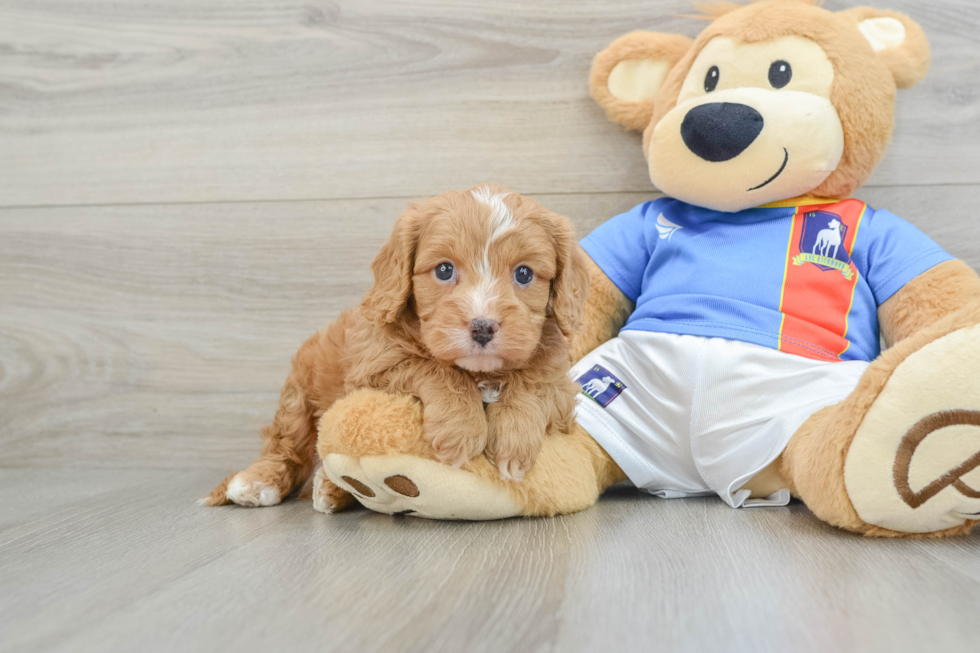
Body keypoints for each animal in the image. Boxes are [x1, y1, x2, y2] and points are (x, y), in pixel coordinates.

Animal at [205, 185, 588, 510]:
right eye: (444, 270)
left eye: (524, 274)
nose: (483, 327)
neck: (479, 371)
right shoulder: (373, 365)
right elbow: (432, 367)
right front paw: (461, 430)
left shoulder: (562, 387)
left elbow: (533, 381)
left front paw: (513, 441)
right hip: (298, 394)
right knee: (287, 445)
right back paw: (261, 483)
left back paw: (329, 488)